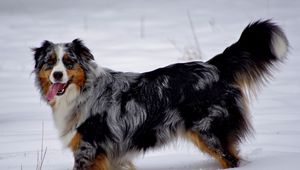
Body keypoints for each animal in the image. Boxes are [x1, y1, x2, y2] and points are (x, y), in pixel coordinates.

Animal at [32, 20, 288, 170]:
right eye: (50, 62)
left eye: (69, 62)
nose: (57, 75)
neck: (82, 92)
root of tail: (213, 65)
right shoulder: (113, 156)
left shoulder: (89, 149)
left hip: (209, 131)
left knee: (230, 160)